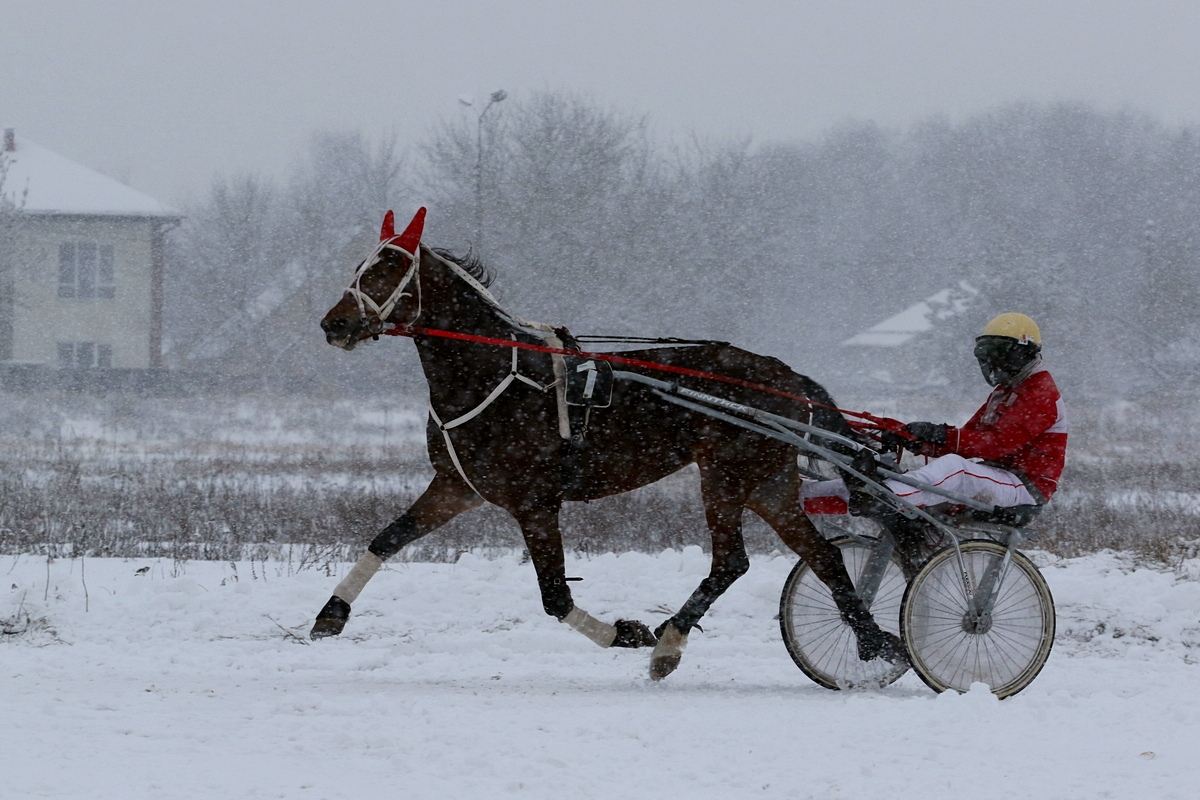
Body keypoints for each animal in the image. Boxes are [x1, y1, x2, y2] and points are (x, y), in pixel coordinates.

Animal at [309, 208, 902, 681]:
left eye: (388, 268)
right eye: (359, 267)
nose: (334, 323)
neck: (495, 374)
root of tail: (787, 377)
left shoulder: (535, 504)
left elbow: (555, 597)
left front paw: (627, 633)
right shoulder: (457, 486)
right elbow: (386, 540)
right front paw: (329, 615)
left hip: (726, 475)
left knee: (732, 562)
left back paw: (669, 642)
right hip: (768, 482)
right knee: (823, 556)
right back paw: (874, 642)